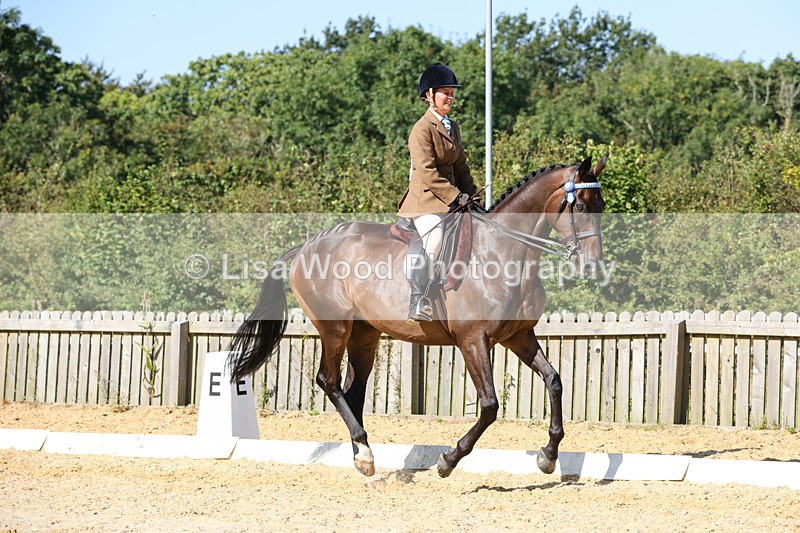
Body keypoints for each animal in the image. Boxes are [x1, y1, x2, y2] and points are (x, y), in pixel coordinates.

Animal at [228, 155, 607, 479]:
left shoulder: (518, 336)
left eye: (601, 208)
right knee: (329, 382)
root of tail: (307, 246)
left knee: (353, 391)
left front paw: (548, 456)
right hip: (334, 328)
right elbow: (489, 405)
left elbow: (554, 381)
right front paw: (448, 460)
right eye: (581, 206)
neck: (504, 253)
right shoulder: (473, 340)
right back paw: (364, 453)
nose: (592, 266)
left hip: (364, 334)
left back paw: (363, 455)